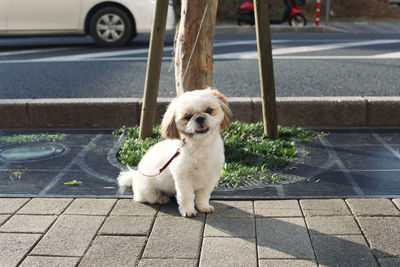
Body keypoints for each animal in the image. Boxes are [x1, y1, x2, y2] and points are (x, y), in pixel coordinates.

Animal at [117, 89, 231, 218]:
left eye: (209, 110)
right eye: (188, 116)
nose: (200, 118)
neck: (201, 146)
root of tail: (135, 175)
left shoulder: (210, 178)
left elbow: (203, 196)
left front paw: (203, 207)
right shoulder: (183, 179)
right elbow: (186, 196)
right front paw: (188, 210)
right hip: (147, 191)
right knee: (147, 198)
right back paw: (161, 198)